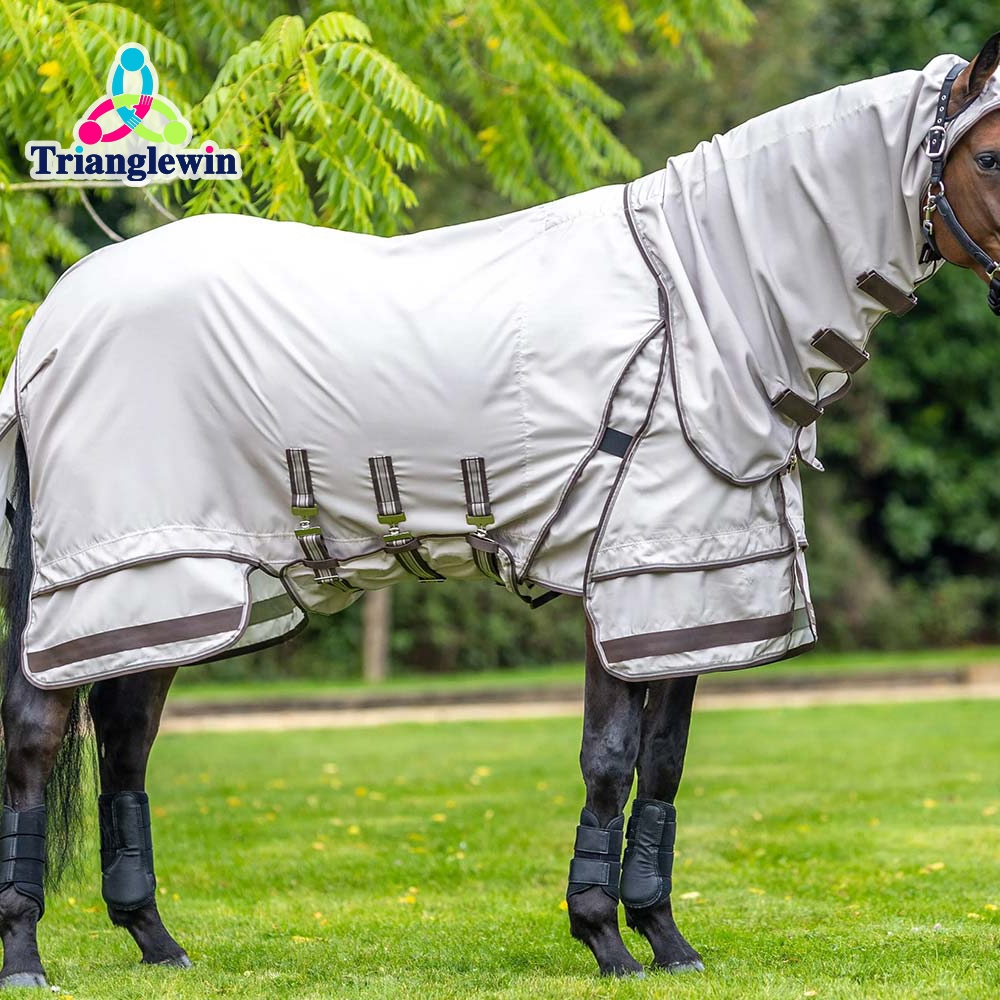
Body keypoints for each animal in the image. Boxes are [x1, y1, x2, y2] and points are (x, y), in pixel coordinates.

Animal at [1, 33, 999, 987]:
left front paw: (666, 940)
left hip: (176, 587)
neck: (694, 309)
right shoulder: (622, 586)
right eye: (988, 156)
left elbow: (664, 764)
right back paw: (26, 958)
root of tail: (50, 324)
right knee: (37, 737)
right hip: (105, 582)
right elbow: (609, 762)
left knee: (124, 738)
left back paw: (156, 941)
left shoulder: (690, 591)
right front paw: (606, 941)